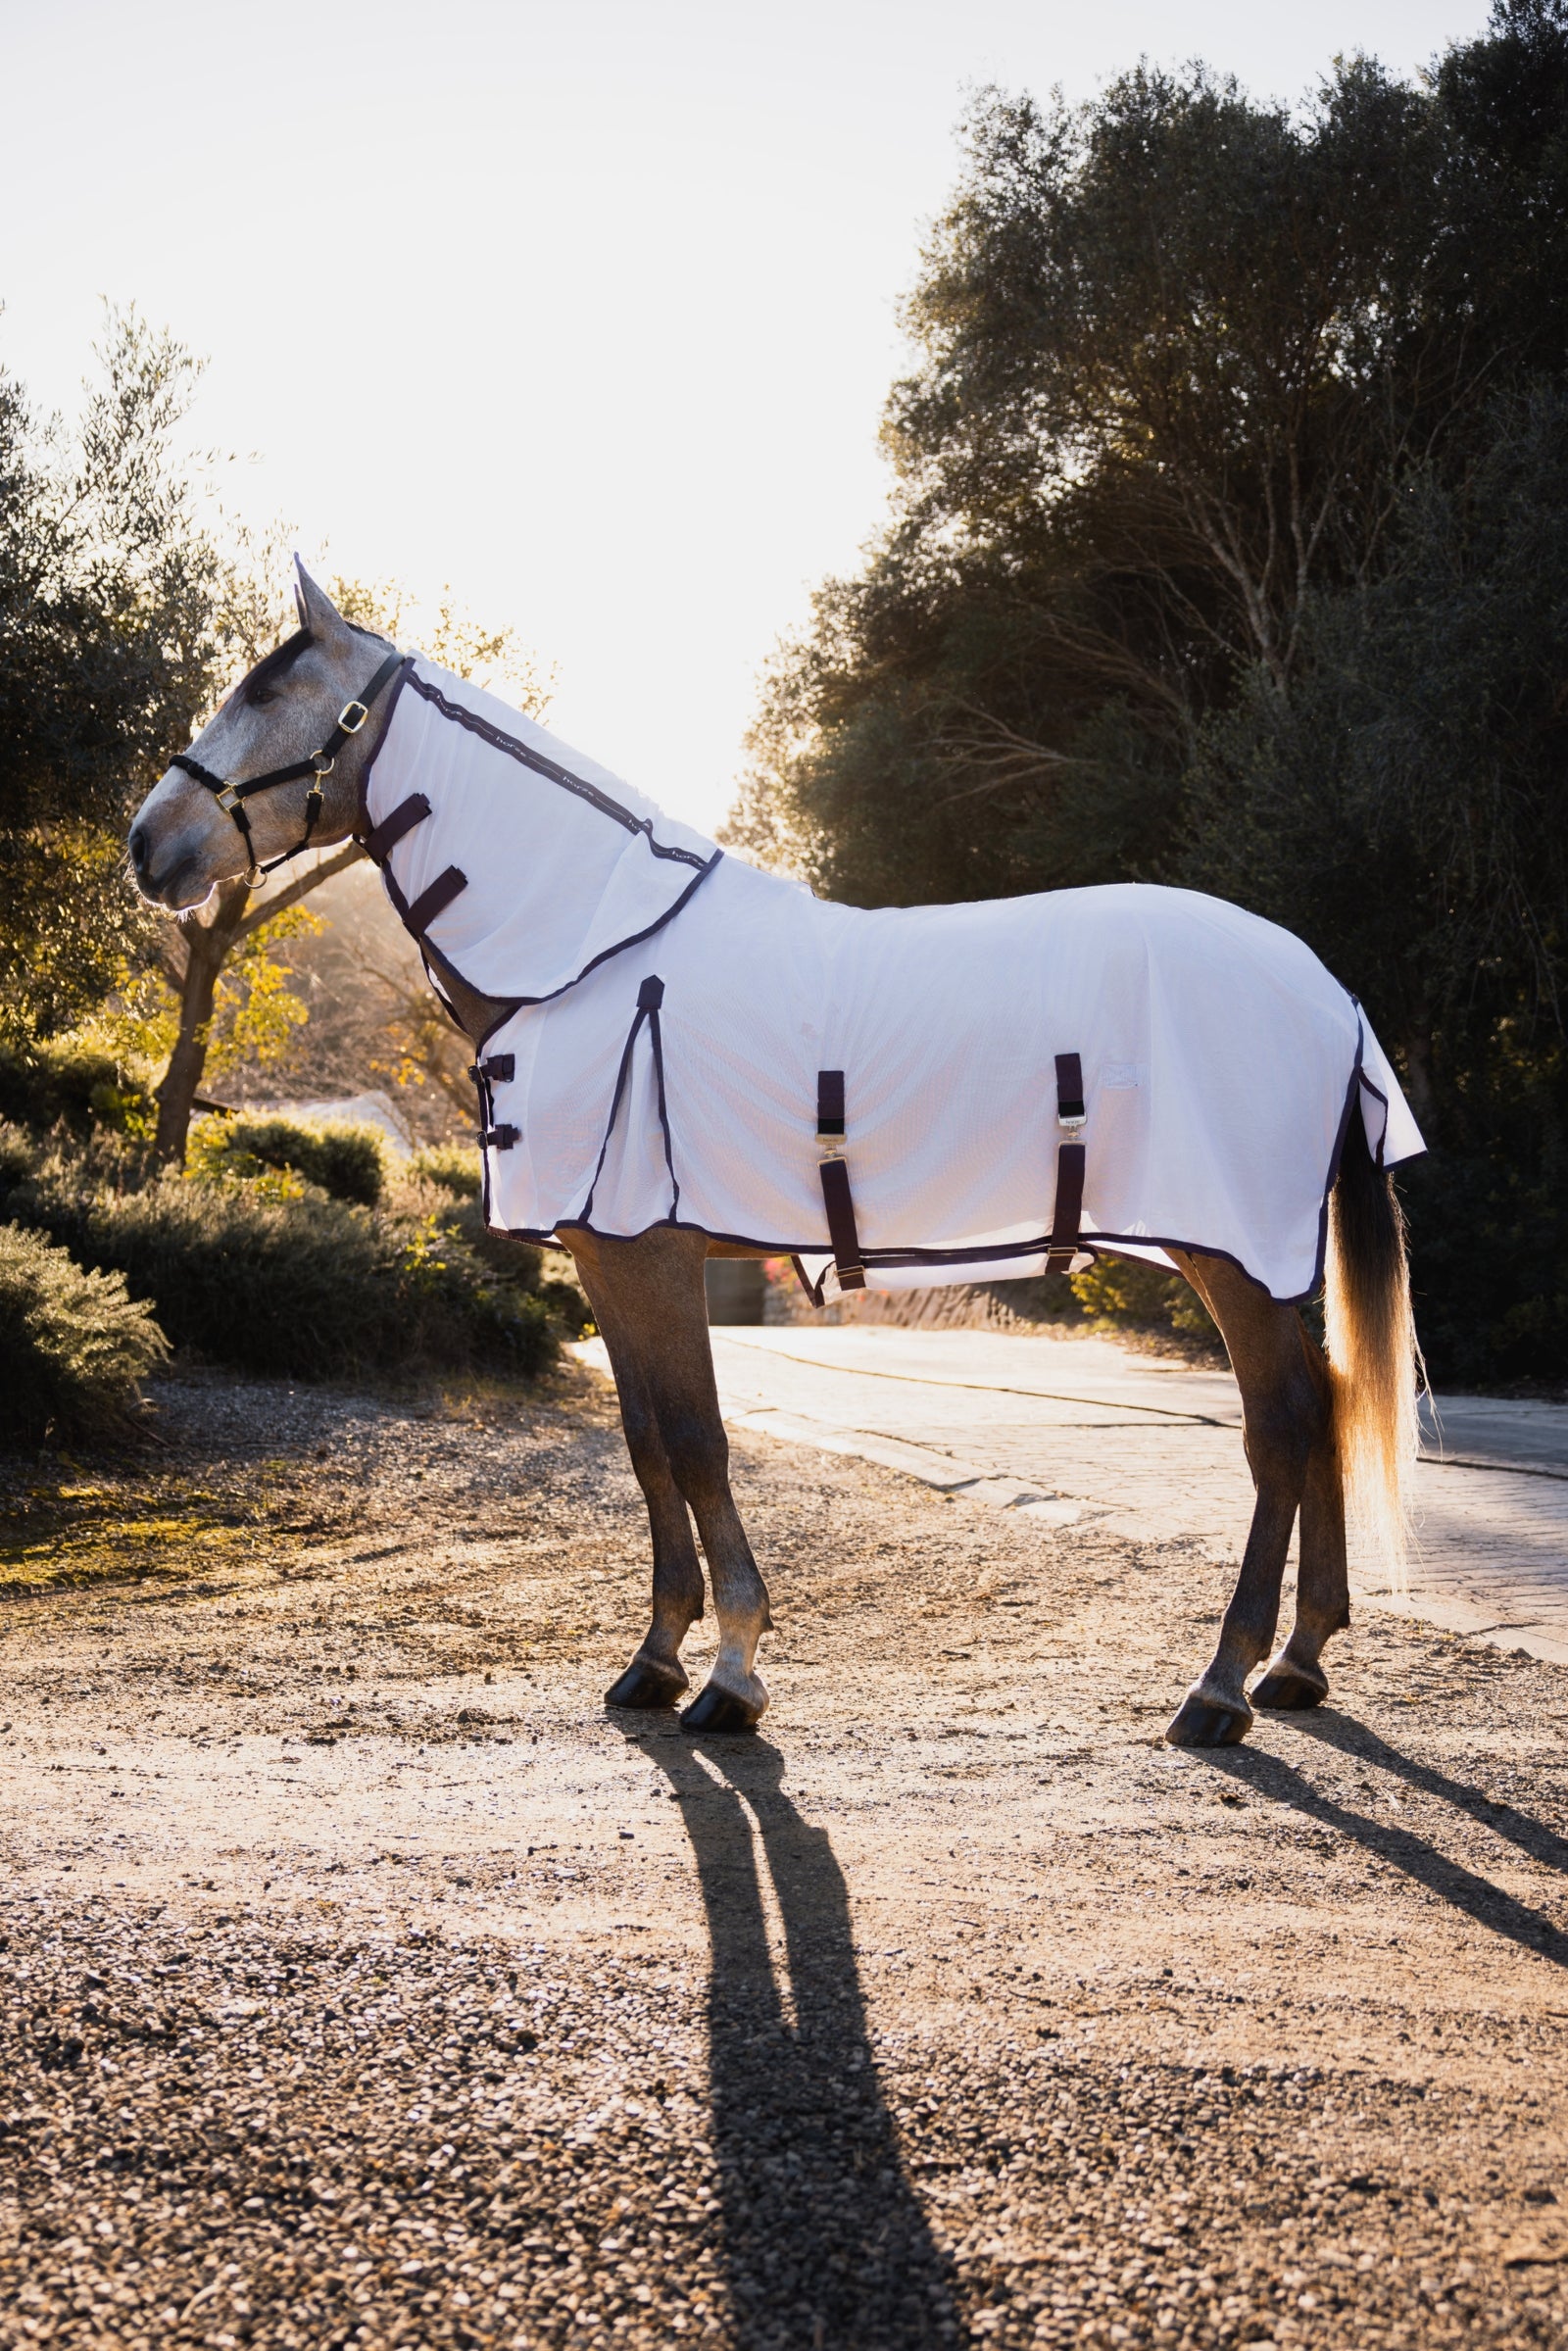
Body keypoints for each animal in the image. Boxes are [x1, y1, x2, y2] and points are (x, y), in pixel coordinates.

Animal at [128, 563, 1424, 1750]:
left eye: (269, 690)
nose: (148, 844)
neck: (594, 950)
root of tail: (1326, 986)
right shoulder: (605, 1255)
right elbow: (648, 1441)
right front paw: (656, 1656)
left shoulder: (649, 1248)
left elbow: (697, 1441)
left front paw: (733, 1668)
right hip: (1265, 1261)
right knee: (1322, 1405)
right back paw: (1298, 1661)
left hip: (1229, 1251)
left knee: (1280, 1426)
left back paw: (1223, 1680)